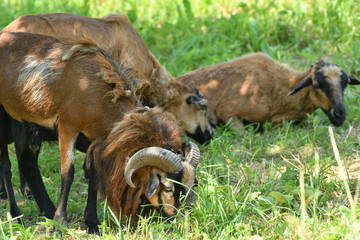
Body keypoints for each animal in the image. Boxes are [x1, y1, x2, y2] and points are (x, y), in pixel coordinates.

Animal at [0, 31, 200, 232]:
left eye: (193, 184)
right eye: (168, 187)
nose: (181, 219)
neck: (95, 90)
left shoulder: (95, 141)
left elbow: (94, 177)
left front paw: (92, 223)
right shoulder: (67, 127)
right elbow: (68, 175)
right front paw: (60, 223)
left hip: (26, 125)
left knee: (28, 164)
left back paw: (47, 210)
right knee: (7, 169)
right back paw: (16, 216)